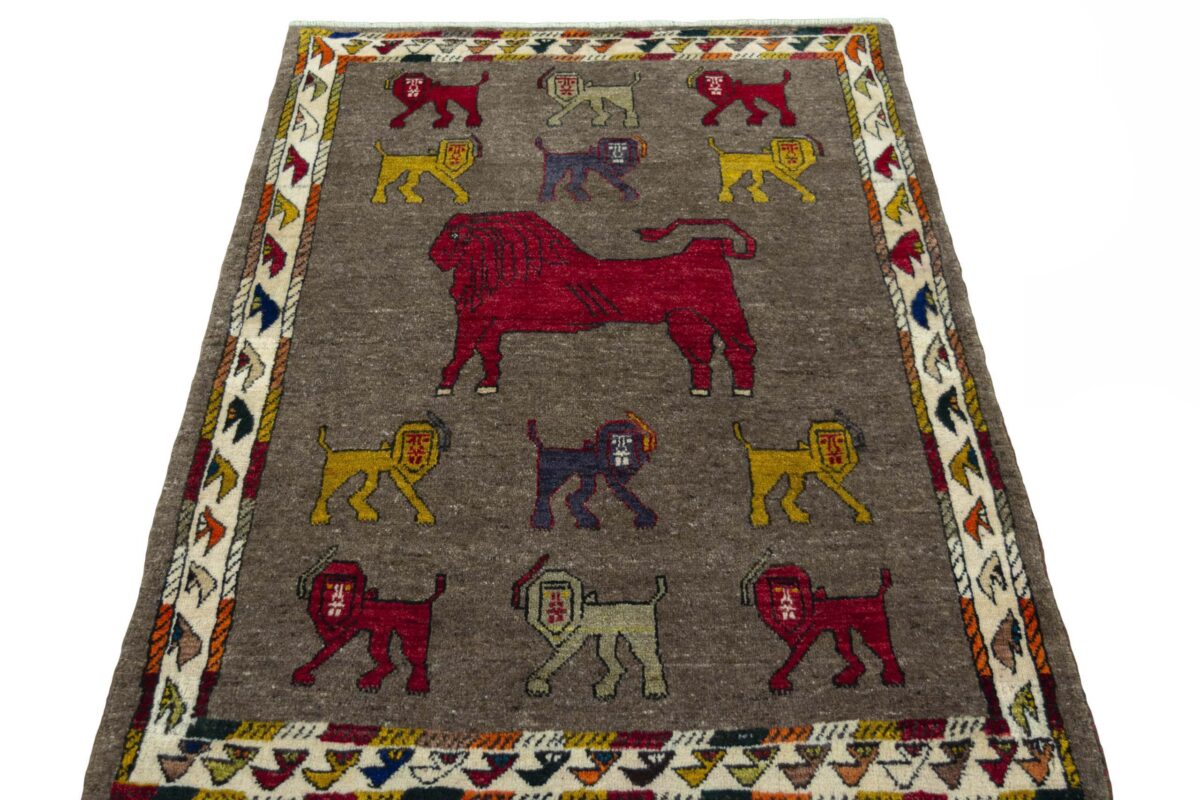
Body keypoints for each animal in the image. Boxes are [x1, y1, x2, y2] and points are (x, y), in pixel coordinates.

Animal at [309, 413, 451, 526]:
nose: (417, 453)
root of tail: (330, 452)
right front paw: (425, 516)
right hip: (336, 474)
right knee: (324, 496)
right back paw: (320, 517)